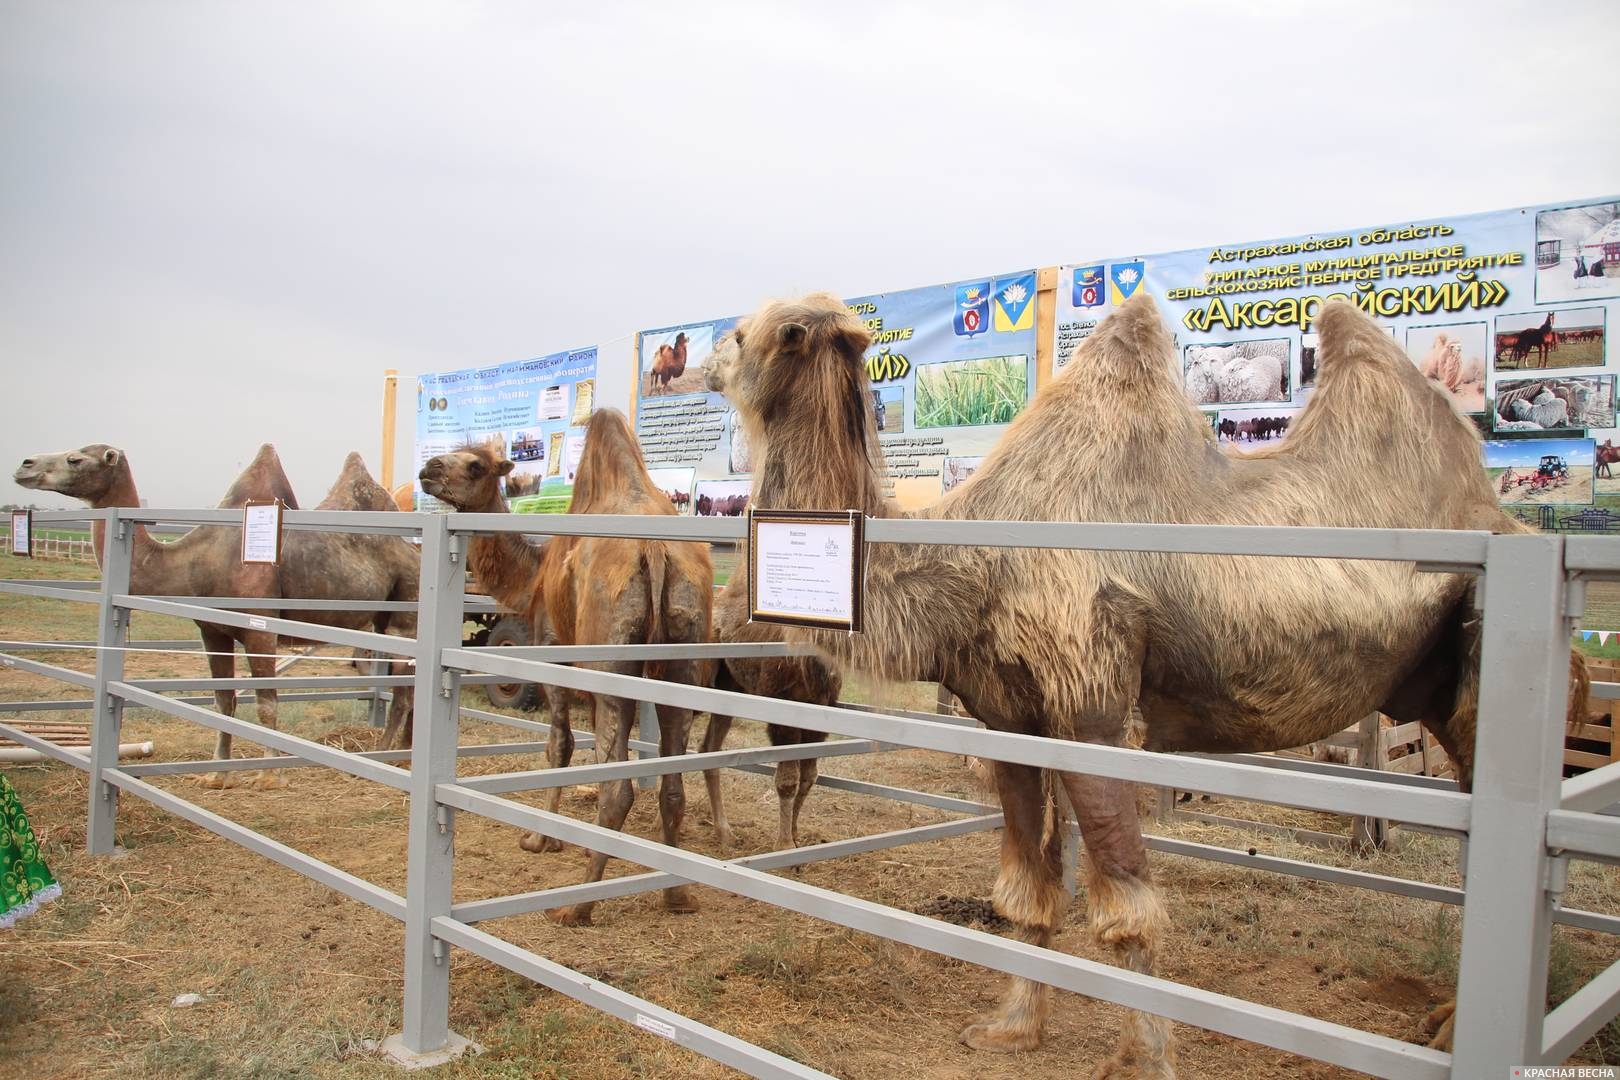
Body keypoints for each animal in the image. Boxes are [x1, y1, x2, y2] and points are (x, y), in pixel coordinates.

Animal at [14, 440, 417, 786]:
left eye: (75, 459)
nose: (24, 464)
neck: (197, 562)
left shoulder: (260, 629)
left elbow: (267, 704)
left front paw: (269, 775)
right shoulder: (212, 629)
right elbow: (224, 700)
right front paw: (217, 774)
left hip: (406, 610)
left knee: (404, 689)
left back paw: (382, 757)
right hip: (384, 619)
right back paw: (402, 755)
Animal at [421, 409, 712, 926]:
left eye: (475, 465)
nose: (427, 468)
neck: (534, 573)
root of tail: (656, 552)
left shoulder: (551, 647)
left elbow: (559, 745)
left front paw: (541, 839)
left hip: (610, 659)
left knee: (618, 790)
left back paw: (577, 906)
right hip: (683, 654)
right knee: (672, 785)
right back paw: (675, 894)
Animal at [712, 291, 1594, 1075]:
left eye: (744, 333)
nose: (708, 359)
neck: (971, 558)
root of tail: (1504, 519)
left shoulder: (1093, 698)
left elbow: (1127, 911)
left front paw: (1148, 1059)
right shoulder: (1009, 715)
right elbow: (1027, 891)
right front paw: (1012, 1030)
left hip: (1481, 644)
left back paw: (1456, 1031)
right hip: (1430, 678)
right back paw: (1440, 1021)